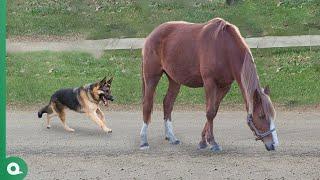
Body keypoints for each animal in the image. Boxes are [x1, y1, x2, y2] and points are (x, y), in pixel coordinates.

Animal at [139, 18, 278, 151]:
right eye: (261, 115)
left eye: (273, 114)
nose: (274, 144)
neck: (224, 47)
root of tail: (152, 34)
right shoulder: (209, 83)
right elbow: (210, 112)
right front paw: (213, 142)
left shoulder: (224, 86)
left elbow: (214, 111)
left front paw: (203, 141)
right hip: (152, 77)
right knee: (147, 104)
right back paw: (144, 141)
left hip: (174, 80)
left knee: (167, 104)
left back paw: (172, 137)